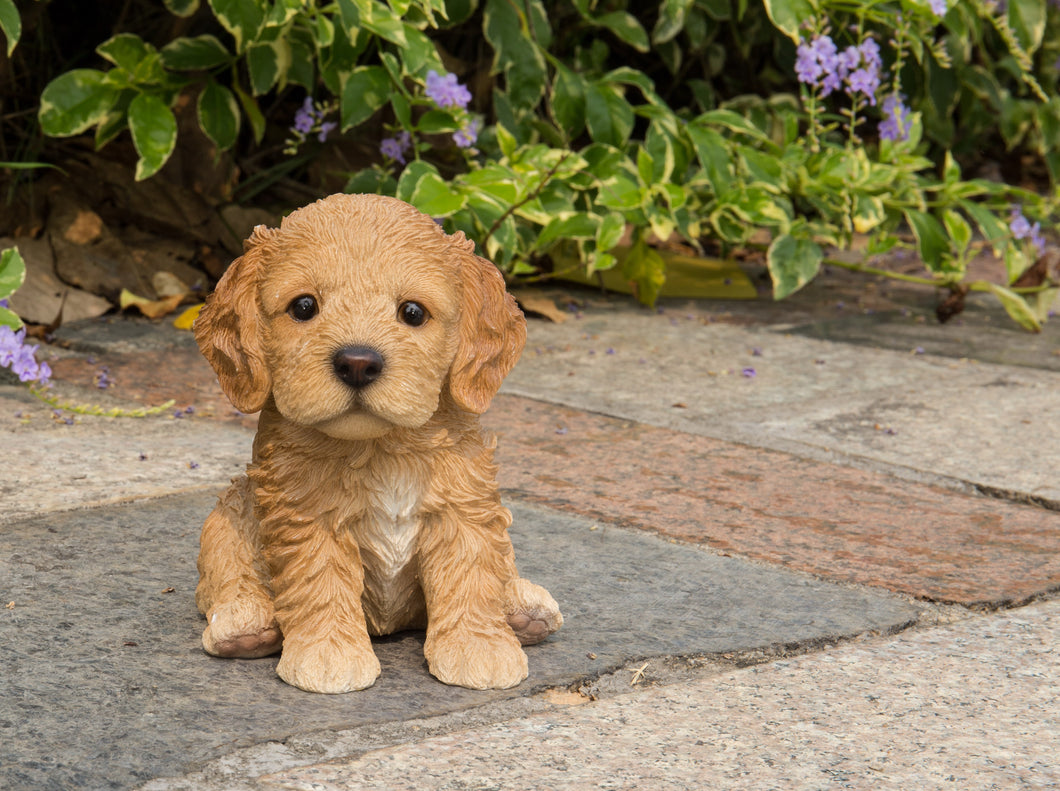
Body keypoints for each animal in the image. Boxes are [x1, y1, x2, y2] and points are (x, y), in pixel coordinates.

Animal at [191, 192, 563, 691]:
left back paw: (523, 610)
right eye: (303, 307)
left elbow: (471, 572)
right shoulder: (306, 517)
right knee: (226, 574)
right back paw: (246, 625)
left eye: (413, 312)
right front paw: (329, 655)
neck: (383, 449)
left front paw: (479, 647)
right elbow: (320, 579)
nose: (357, 362)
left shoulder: (464, 507)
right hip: (224, 520)